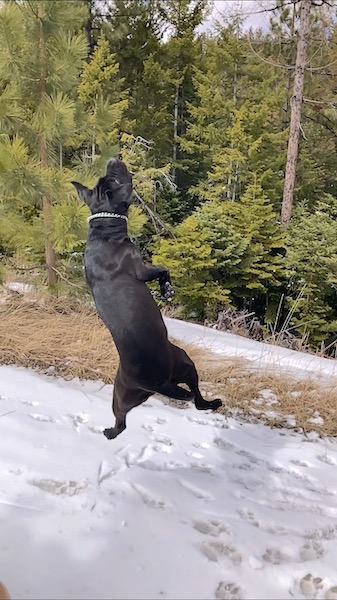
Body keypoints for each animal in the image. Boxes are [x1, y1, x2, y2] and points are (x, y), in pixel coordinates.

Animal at [72, 159, 222, 440]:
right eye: (115, 179)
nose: (113, 159)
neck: (104, 228)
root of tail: (158, 384)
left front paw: (166, 290)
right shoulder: (140, 268)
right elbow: (163, 268)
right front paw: (167, 289)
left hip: (140, 385)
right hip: (167, 372)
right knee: (191, 400)